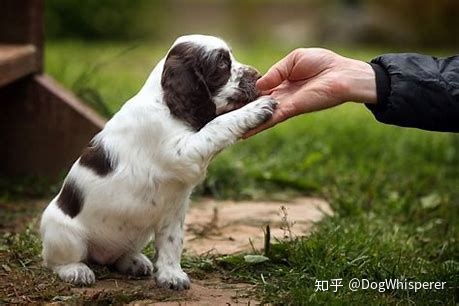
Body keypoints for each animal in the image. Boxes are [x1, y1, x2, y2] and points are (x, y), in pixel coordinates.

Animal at [39, 34, 276, 290]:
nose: (259, 75)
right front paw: (257, 108)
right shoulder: (183, 152)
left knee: (117, 256)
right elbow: (217, 125)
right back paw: (76, 271)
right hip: (65, 235)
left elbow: (172, 243)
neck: (164, 103)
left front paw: (171, 275)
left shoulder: (174, 210)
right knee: (56, 261)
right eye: (222, 63)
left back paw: (134, 262)